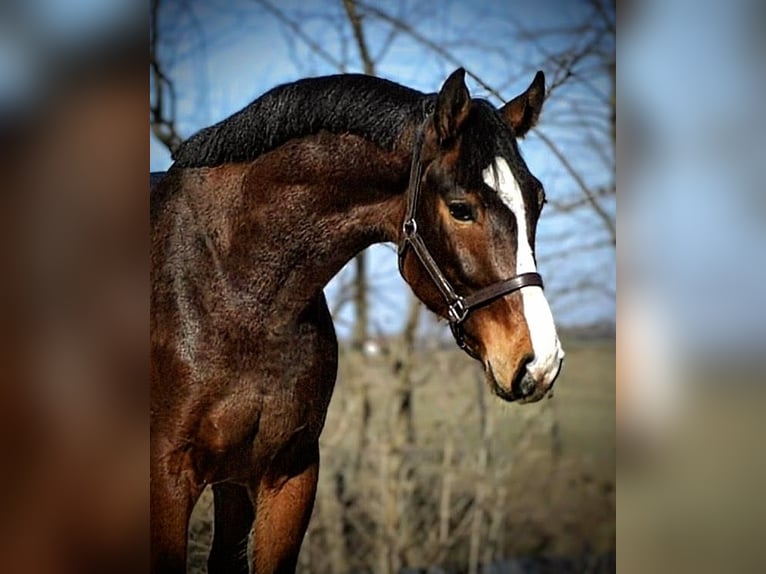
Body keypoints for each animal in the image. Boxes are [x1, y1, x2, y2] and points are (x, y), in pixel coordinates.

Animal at [150, 67, 564, 573]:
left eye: (537, 201)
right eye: (461, 208)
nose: (540, 363)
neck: (233, 287)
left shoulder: (285, 474)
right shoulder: (167, 477)